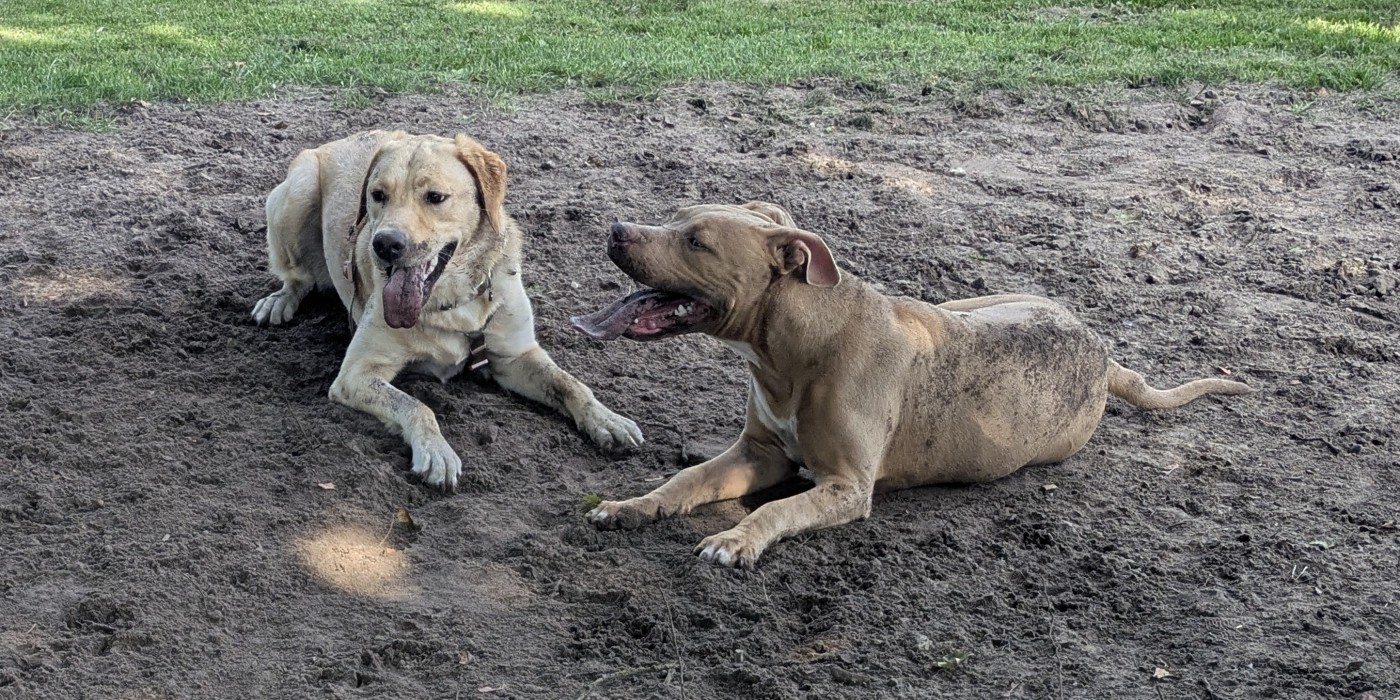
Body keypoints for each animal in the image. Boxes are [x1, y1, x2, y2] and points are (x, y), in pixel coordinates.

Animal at [252, 130, 642, 490]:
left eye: (435, 198)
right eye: (378, 196)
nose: (385, 244)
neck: (450, 300)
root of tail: (340, 139)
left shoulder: (515, 355)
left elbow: (569, 383)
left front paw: (606, 419)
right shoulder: (355, 375)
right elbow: (416, 406)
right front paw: (436, 451)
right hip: (297, 192)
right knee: (297, 276)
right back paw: (279, 301)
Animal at [573, 201, 1252, 567]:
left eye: (696, 241)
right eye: (676, 218)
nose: (615, 229)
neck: (795, 349)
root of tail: (1105, 359)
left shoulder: (844, 486)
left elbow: (779, 509)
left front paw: (736, 539)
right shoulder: (757, 454)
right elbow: (686, 481)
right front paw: (633, 506)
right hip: (971, 301)